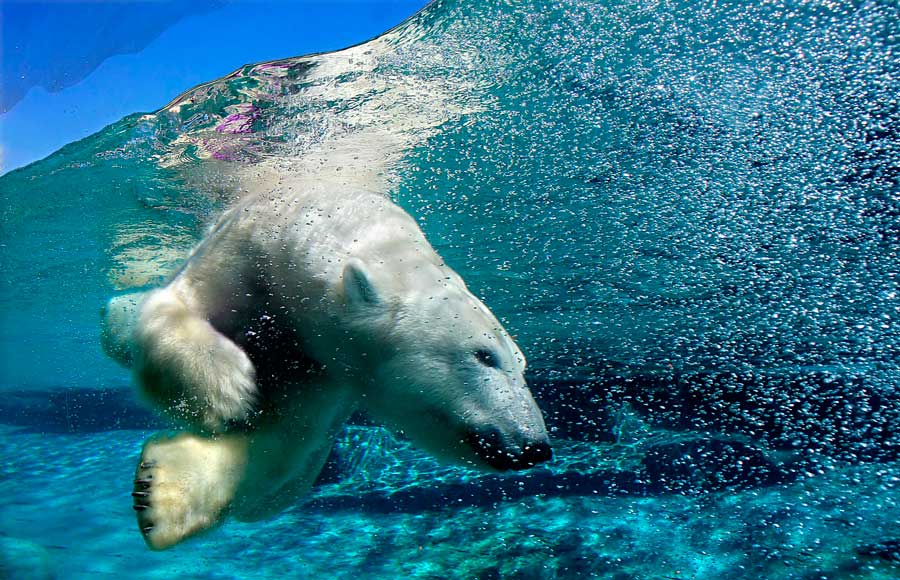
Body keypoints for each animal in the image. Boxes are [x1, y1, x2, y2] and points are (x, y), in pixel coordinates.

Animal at [103, 181, 551, 550]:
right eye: (484, 355)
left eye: (522, 365)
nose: (535, 446)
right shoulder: (244, 250)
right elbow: (177, 305)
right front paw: (227, 389)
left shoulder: (327, 369)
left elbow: (285, 443)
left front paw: (161, 491)